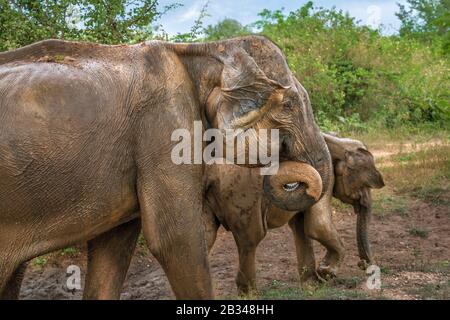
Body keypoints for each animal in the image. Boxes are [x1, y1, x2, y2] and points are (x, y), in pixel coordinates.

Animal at [204, 132, 384, 292]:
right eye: (365, 185)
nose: (363, 265)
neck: (336, 140)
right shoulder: (324, 178)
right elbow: (318, 226)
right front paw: (326, 273)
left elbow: (301, 228)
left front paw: (313, 286)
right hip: (243, 196)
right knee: (250, 240)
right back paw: (250, 294)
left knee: (208, 236)